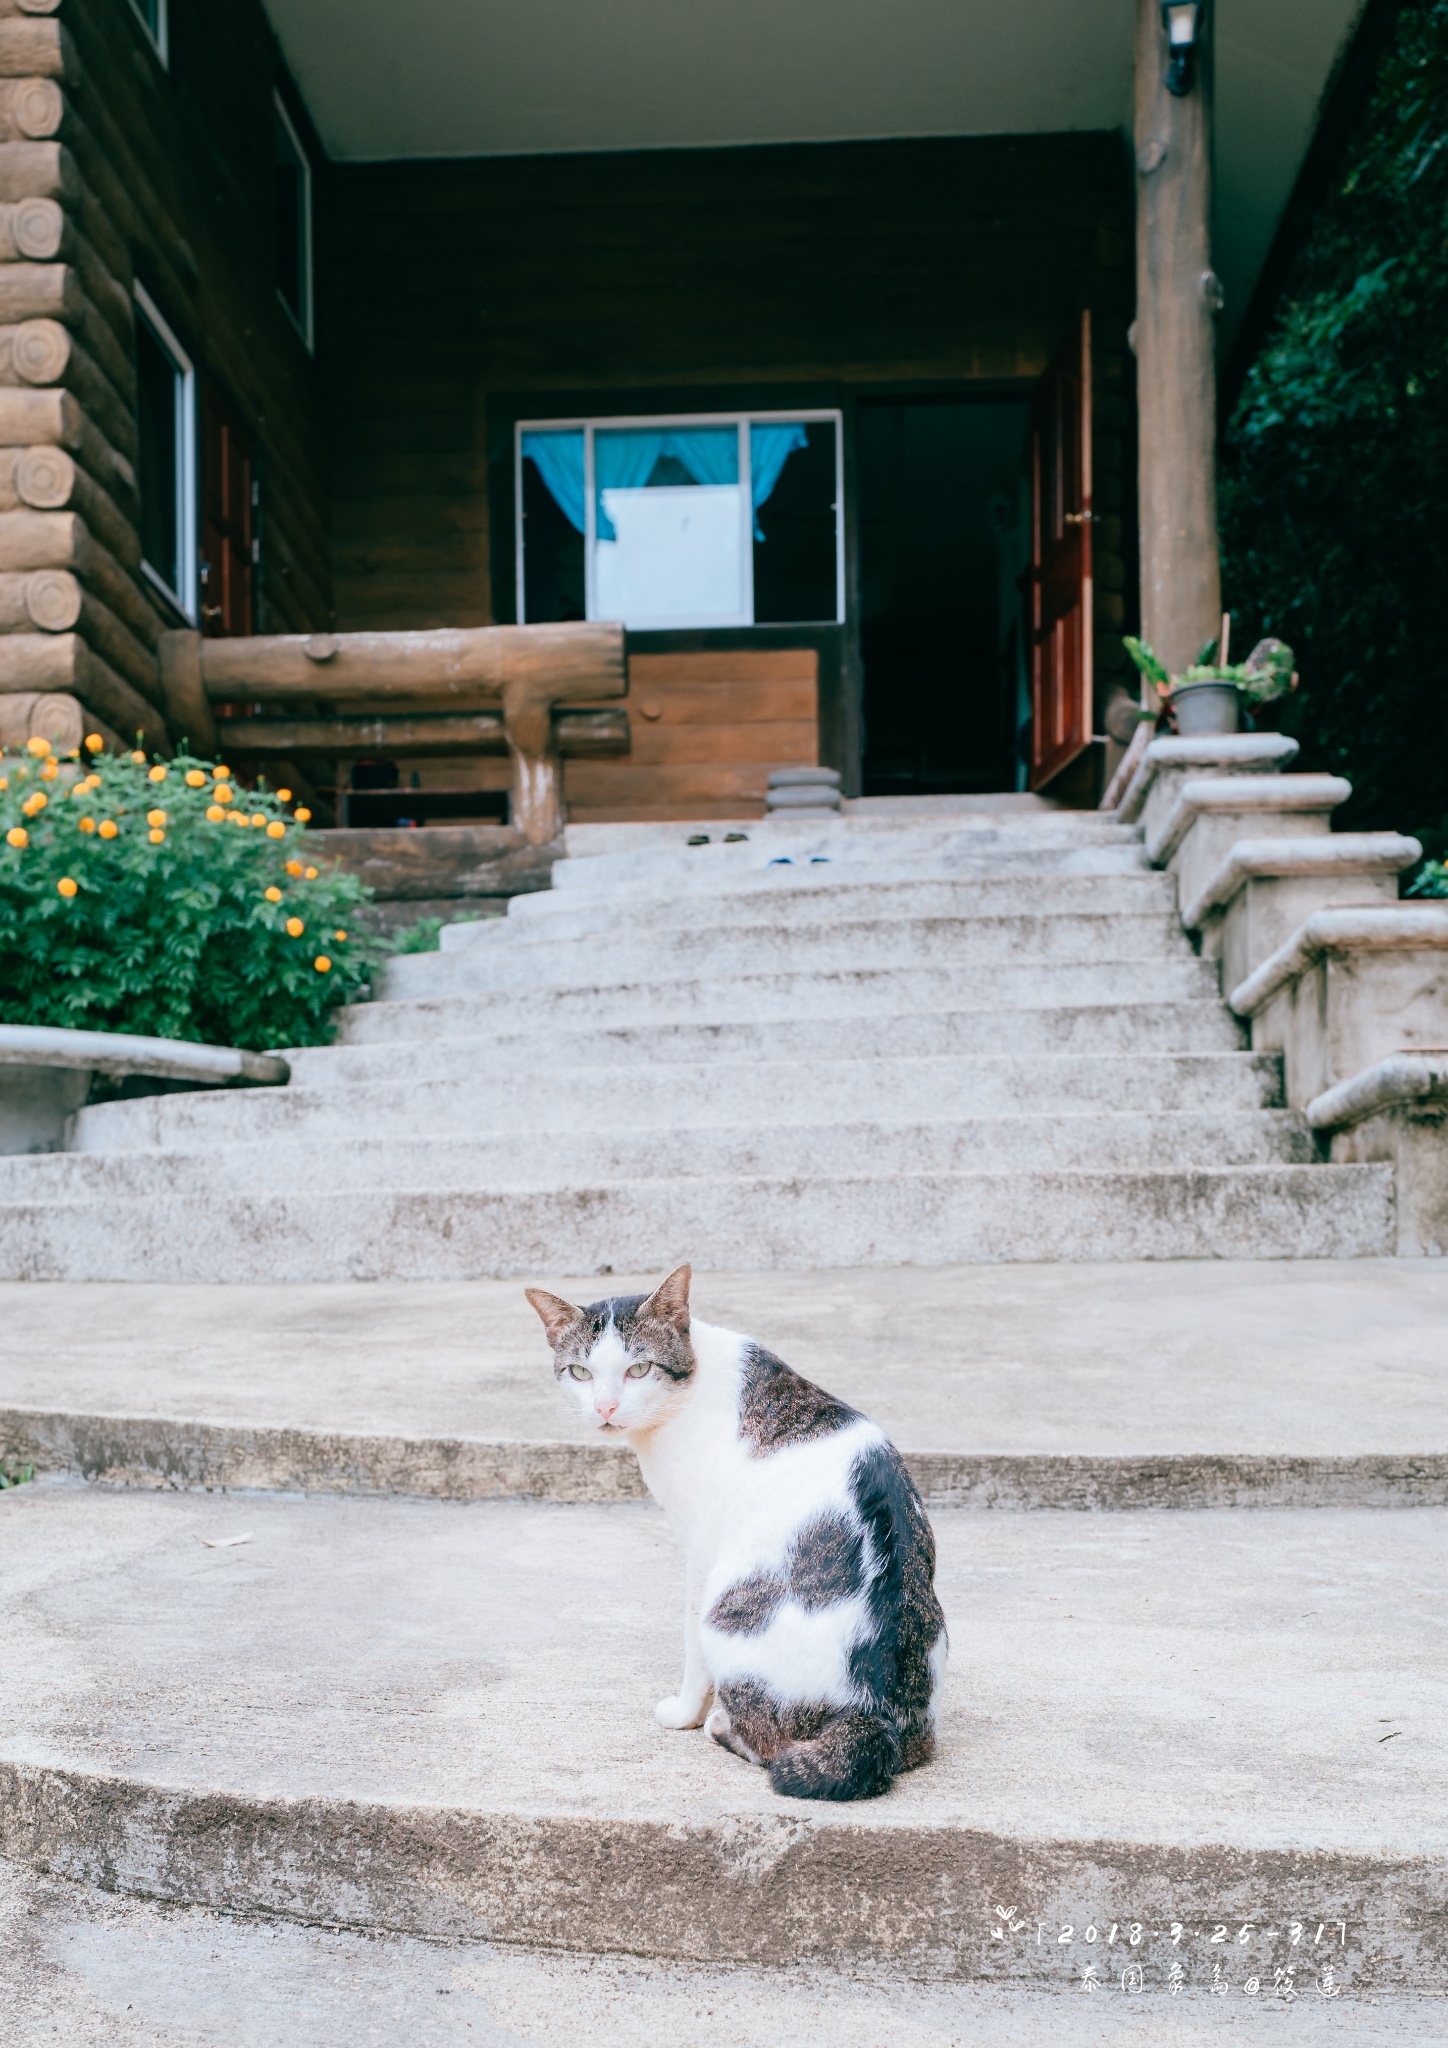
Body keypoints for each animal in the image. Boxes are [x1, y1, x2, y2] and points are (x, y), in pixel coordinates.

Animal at [528, 1253, 946, 1802]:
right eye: (580, 1372)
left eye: (638, 1368)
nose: (605, 1408)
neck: (691, 1381)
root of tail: (873, 1714)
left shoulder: (701, 1549)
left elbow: (690, 1651)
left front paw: (685, 1713)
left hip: (726, 1607)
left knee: (769, 1744)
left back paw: (721, 1724)